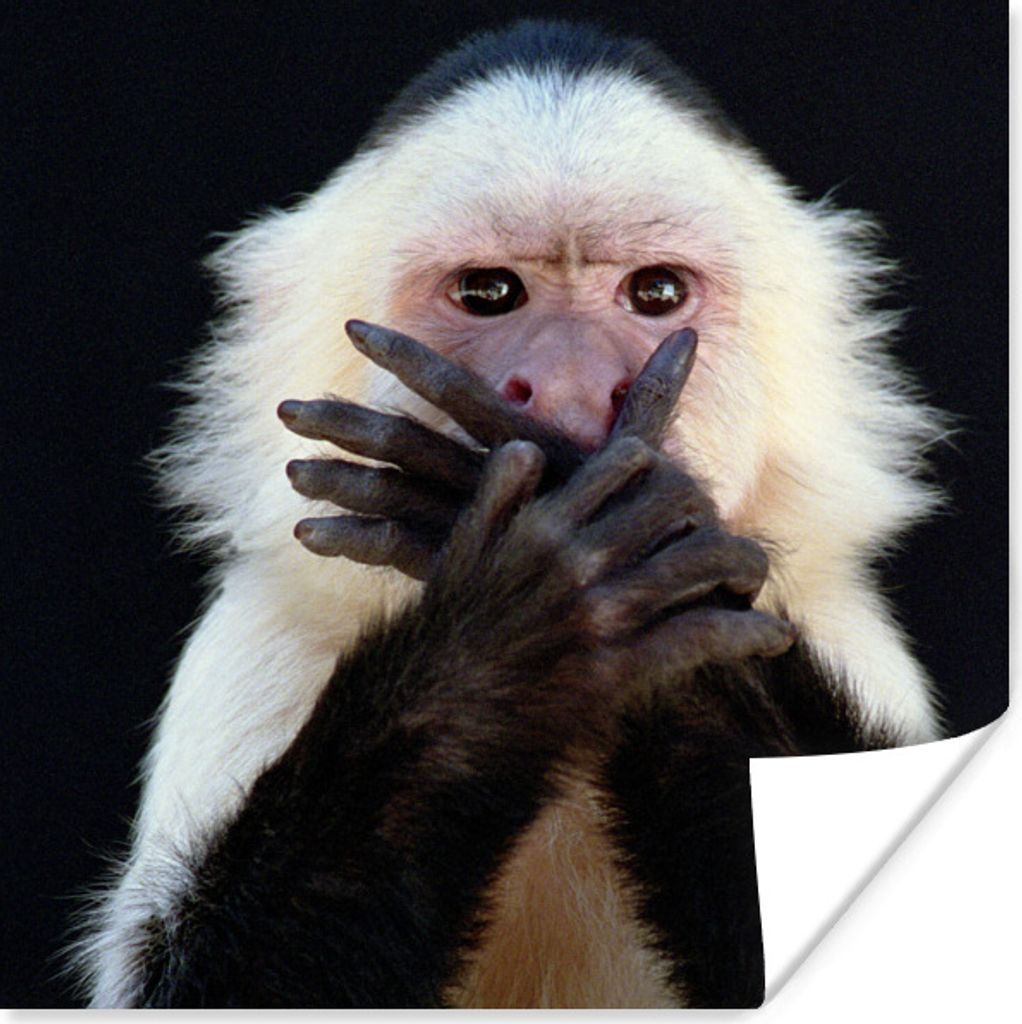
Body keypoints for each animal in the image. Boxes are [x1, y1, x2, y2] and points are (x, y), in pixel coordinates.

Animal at [73, 20, 945, 1008]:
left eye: (655, 294)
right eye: (490, 293)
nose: (569, 388)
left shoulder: (848, 630)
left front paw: (641, 550)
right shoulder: (258, 640)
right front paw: (523, 623)